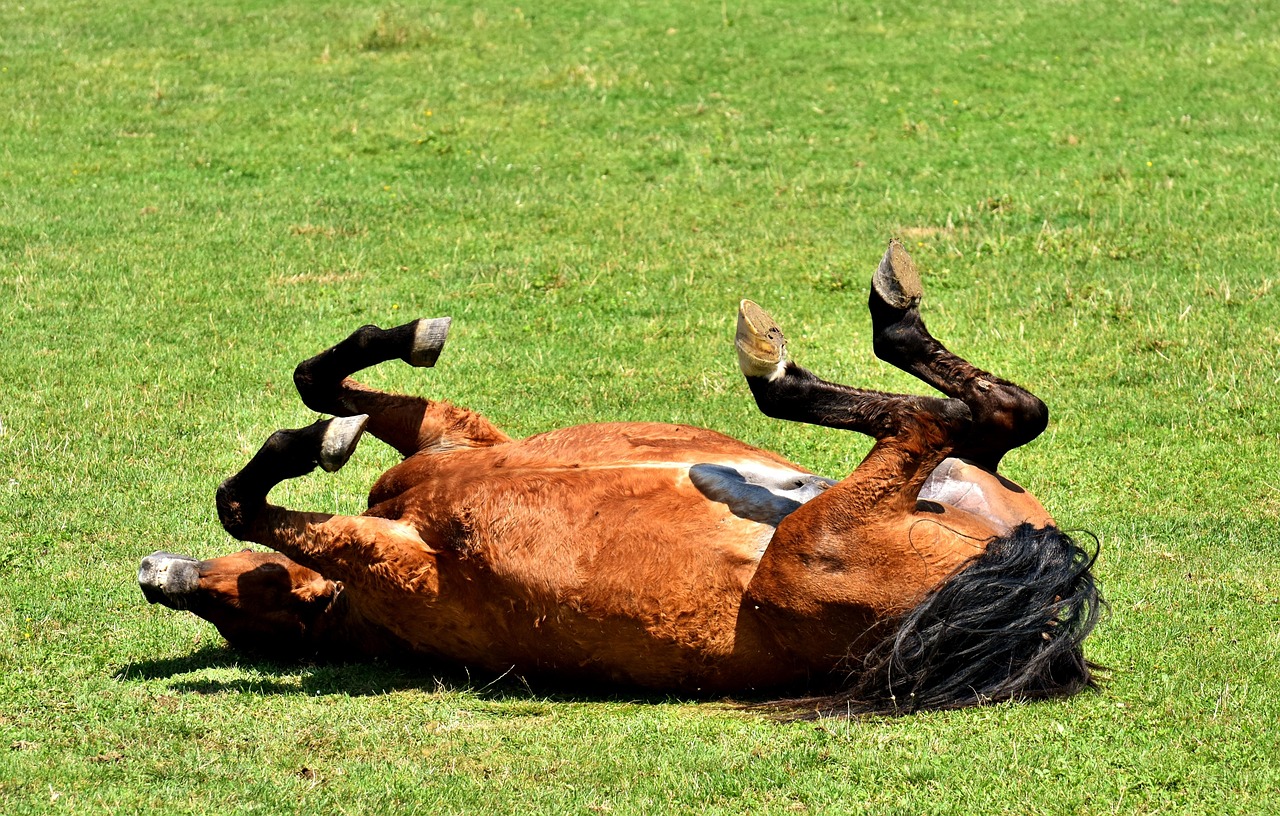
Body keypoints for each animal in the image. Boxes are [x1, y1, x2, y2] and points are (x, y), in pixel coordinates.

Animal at [137, 241, 1100, 716]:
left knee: (979, 417)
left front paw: (391, 352)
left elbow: (313, 391)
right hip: (815, 545)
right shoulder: (398, 550)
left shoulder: (453, 440)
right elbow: (243, 498)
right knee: (954, 420)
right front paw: (314, 444)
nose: (155, 578)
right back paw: (793, 360)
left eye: (238, 605)